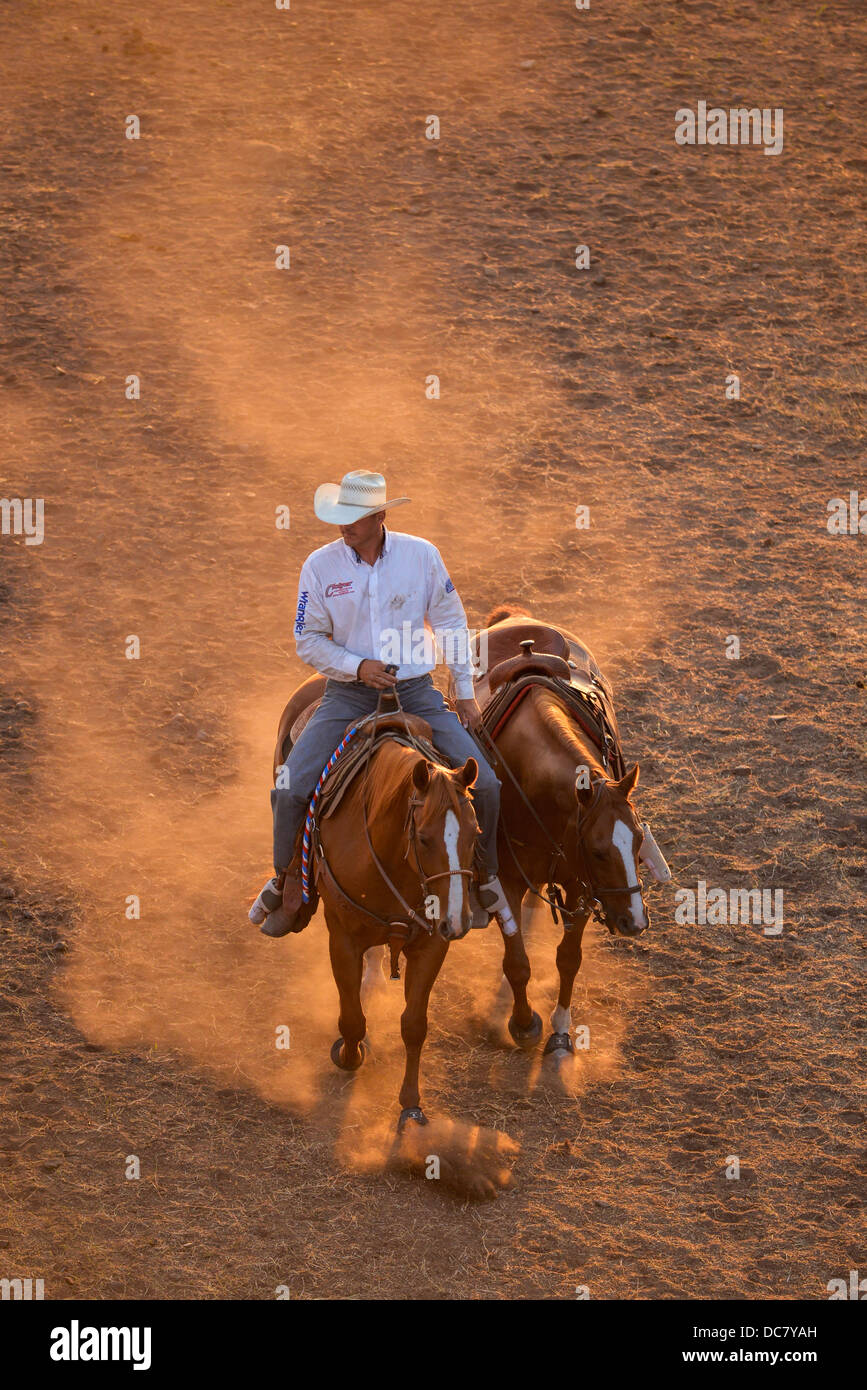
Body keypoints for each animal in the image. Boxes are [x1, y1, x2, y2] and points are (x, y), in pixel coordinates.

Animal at [452, 603, 669, 1056]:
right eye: (600, 850)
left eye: (638, 841)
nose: (635, 922)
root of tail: (512, 618)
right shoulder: (509, 881)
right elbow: (517, 963)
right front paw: (522, 1023)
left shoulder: (579, 884)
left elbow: (568, 959)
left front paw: (562, 1032)